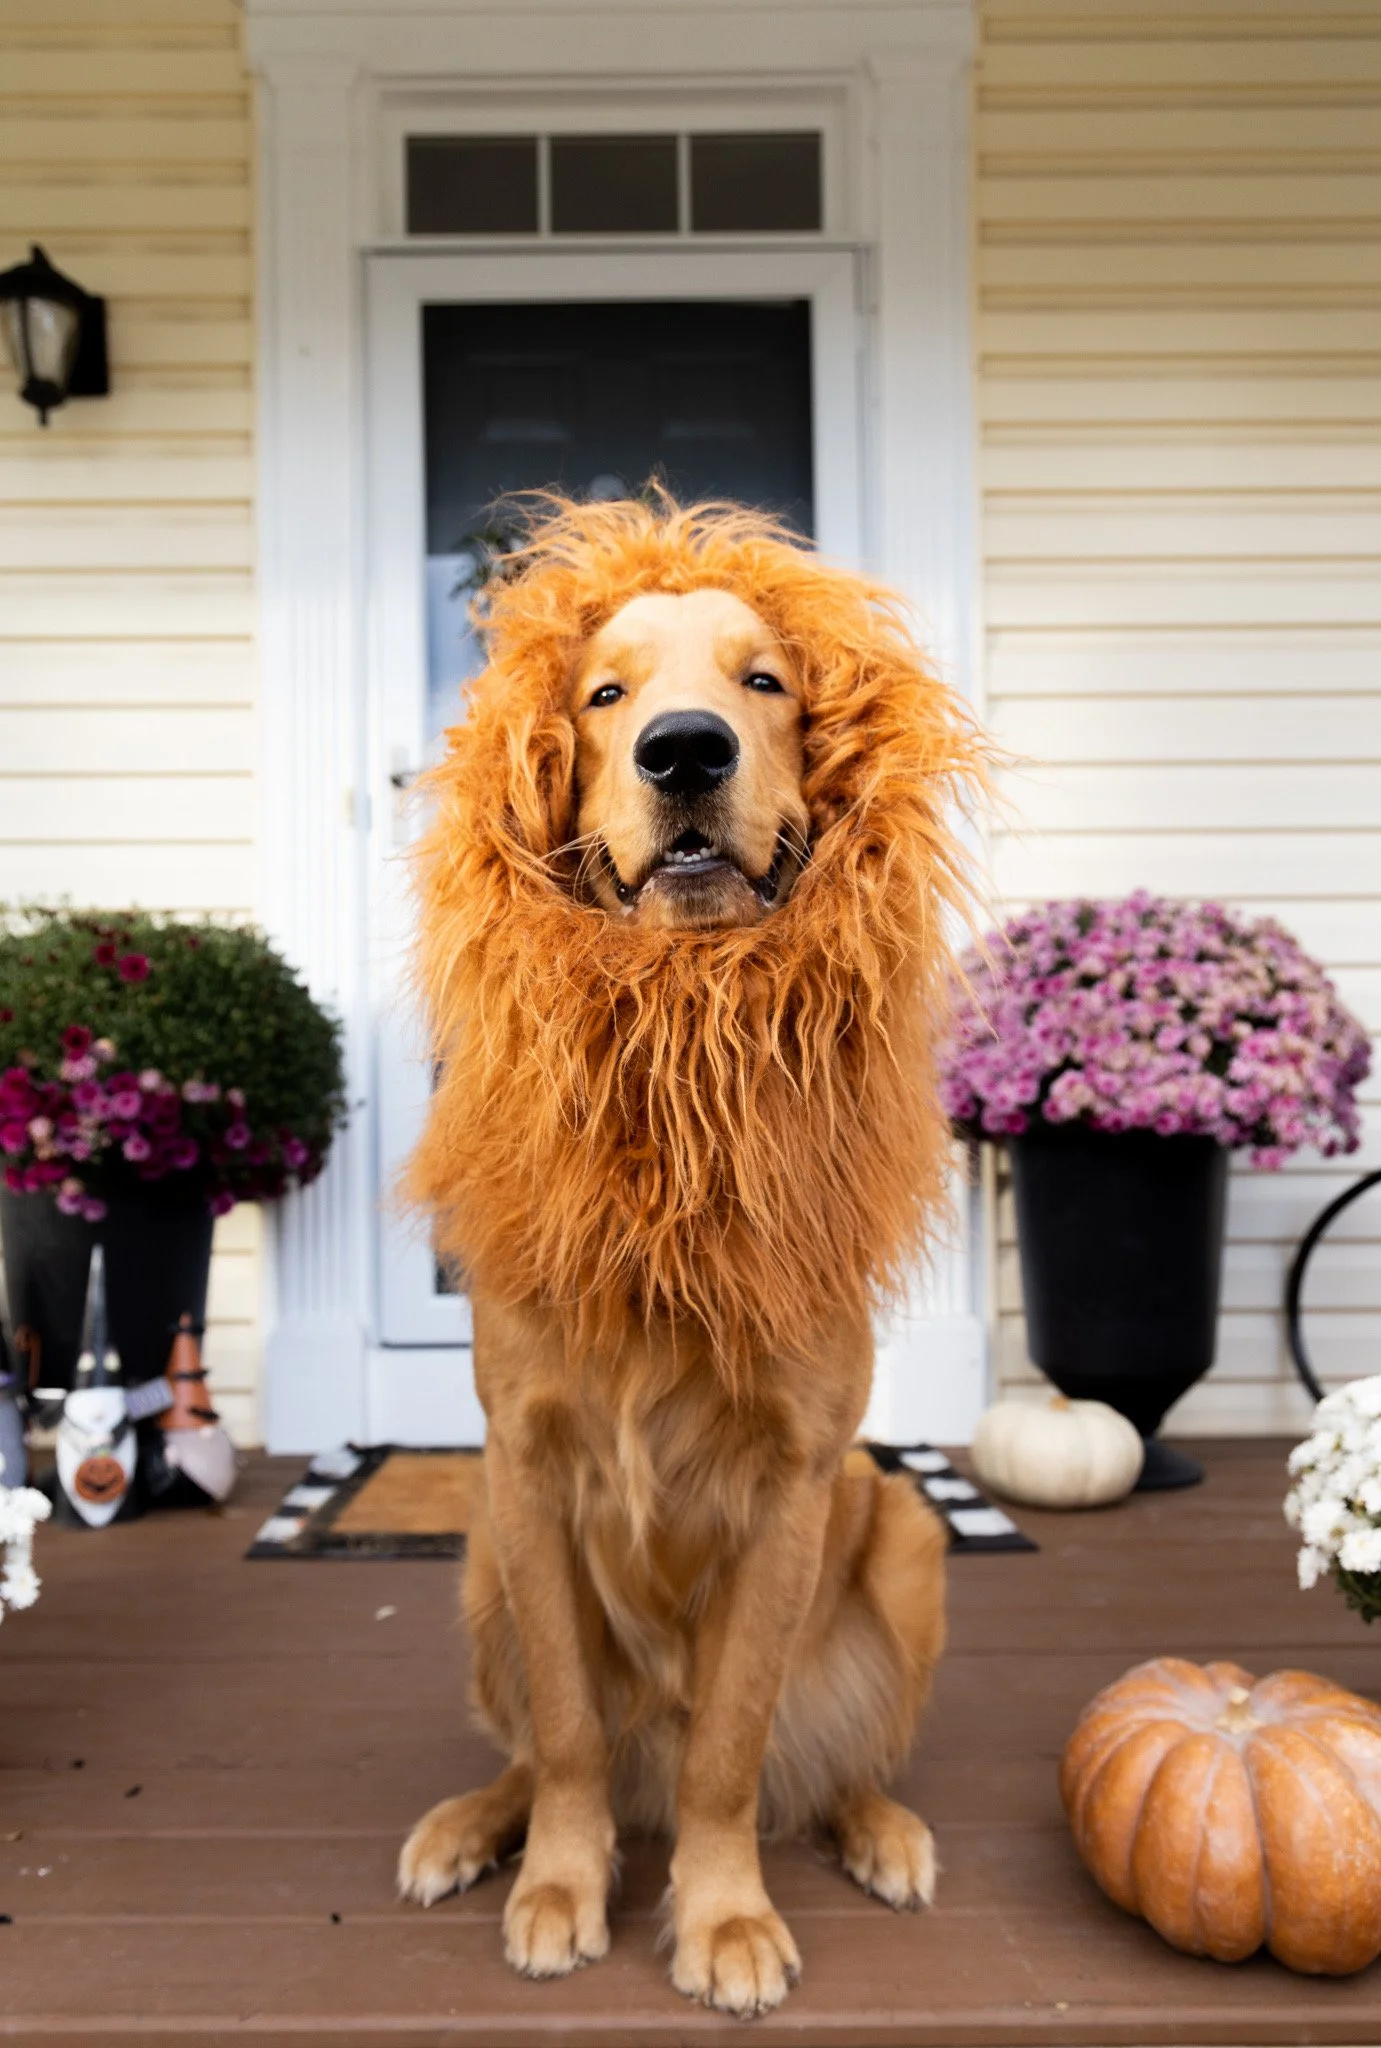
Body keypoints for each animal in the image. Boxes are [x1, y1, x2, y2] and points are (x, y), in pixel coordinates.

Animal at [397, 495, 984, 2017]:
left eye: (764, 681)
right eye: (603, 697)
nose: (685, 749)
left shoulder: (790, 1481)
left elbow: (730, 1744)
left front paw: (722, 1917)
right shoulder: (526, 1466)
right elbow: (564, 1730)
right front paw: (558, 1884)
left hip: (903, 1534)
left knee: (822, 1765)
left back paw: (883, 1830)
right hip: (475, 1557)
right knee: (544, 1746)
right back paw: (466, 1827)